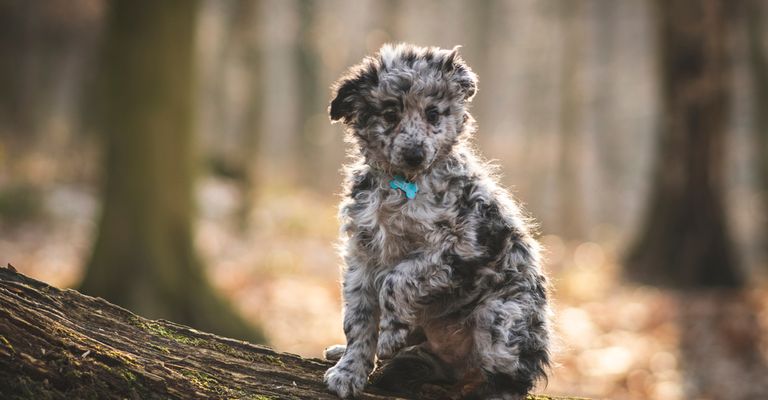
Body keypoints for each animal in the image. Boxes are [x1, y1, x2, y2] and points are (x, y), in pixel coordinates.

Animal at [324, 42, 552, 398]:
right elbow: (358, 320)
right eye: (390, 115)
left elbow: (396, 280)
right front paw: (349, 370)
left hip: (502, 318)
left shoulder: (459, 248)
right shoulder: (362, 254)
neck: (403, 184)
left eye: (433, 114)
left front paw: (390, 335)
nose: (415, 154)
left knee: (508, 381)